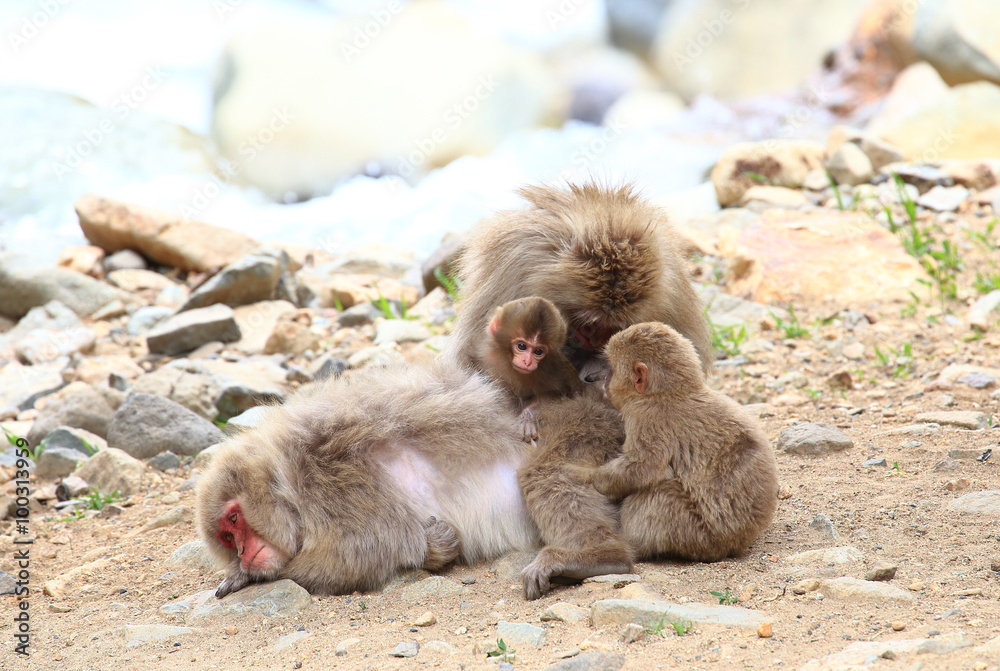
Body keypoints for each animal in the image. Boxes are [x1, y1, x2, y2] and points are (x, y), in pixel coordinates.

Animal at [196, 360, 541, 597]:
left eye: (235, 518)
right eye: (227, 538)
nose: (242, 553)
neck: (289, 485)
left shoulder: (333, 487)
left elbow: (357, 556)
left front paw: (245, 576)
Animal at [477, 297, 586, 440]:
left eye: (538, 351)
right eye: (522, 346)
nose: (527, 362)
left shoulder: (554, 367)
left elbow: (557, 394)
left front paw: (526, 418)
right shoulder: (490, 359)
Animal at [574, 322, 778, 562]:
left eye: (611, 370)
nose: (595, 379)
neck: (671, 393)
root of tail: (734, 544)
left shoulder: (645, 416)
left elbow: (644, 468)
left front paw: (595, 478)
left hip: (695, 532)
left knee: (659, 494)